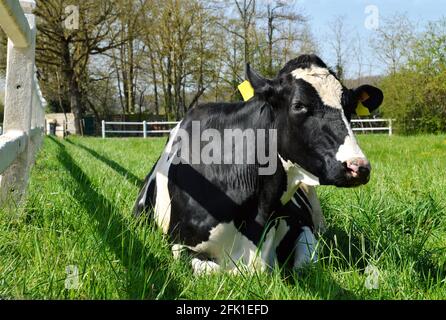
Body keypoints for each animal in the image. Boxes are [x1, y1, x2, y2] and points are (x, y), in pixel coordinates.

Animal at [133, 54, 384, 276]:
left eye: (349, 108)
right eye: (299, 105)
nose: (359, 167)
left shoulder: (303, 227)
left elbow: (304, 266)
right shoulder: (179, 245)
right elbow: (224, 271)